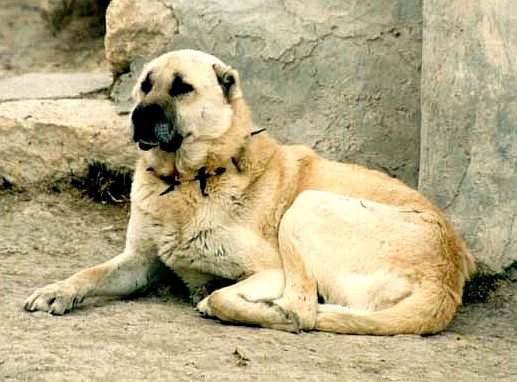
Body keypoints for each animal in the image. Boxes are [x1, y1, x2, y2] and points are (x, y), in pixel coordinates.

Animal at [25, 48, 476, 334]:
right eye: (145, 85)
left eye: (182, 87)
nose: (138, 116)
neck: (192, 177)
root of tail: (446, 280)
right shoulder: (139, 262)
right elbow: (91, 272)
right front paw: (57, 291)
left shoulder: (269, 270)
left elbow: (228, 295)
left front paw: (219, 298)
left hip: (306, 207)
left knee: (302, 310)